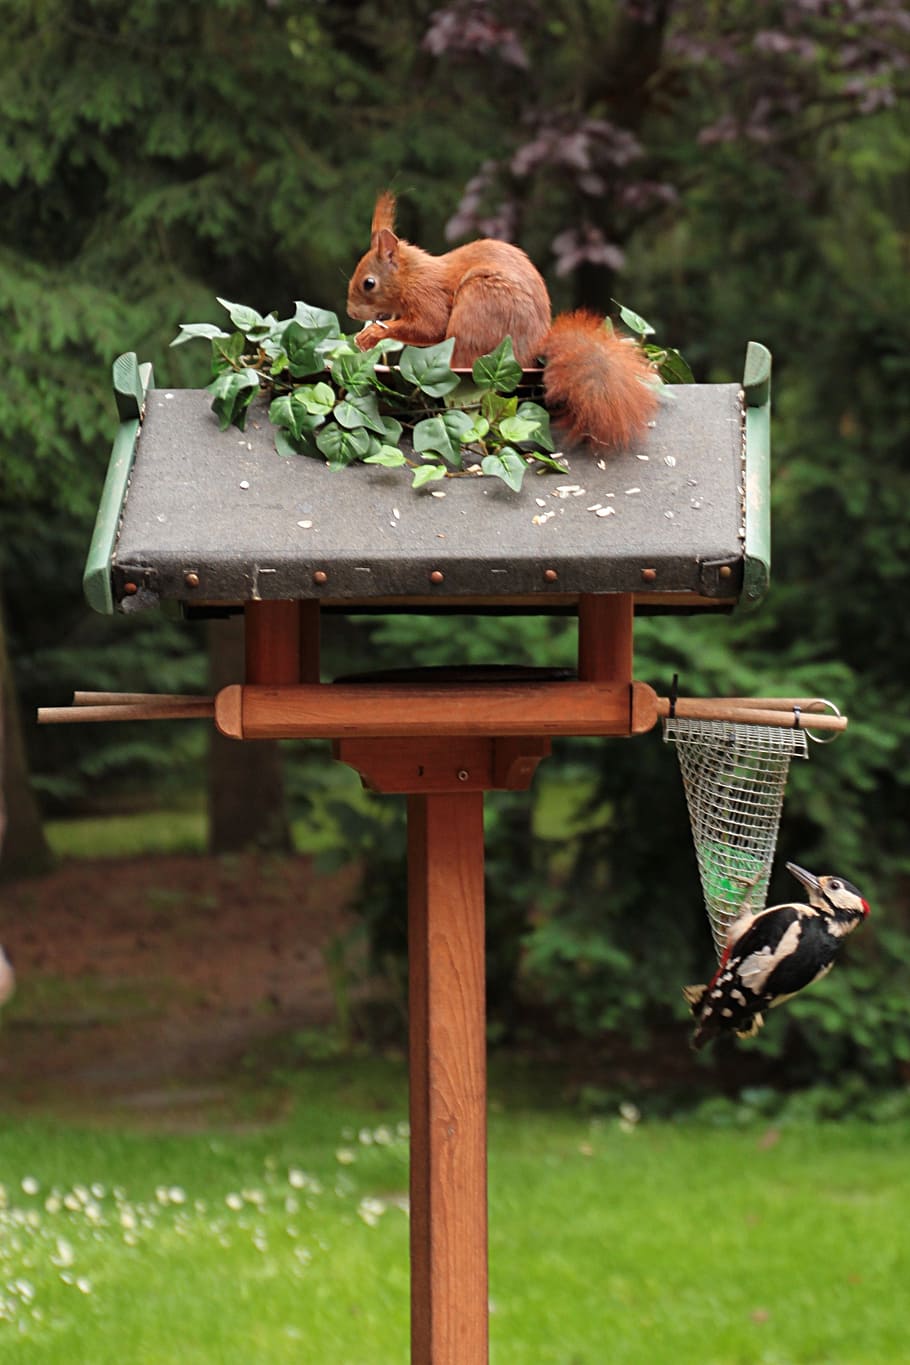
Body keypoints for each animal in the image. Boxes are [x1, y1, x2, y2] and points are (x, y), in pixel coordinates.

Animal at [345, 192, 657, 450]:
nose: (350, 313)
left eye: (369, 283)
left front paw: (371, 336)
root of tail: (531, 354)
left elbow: (430, 328)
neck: (411, 276)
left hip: (478, 305)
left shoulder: (428, 297)